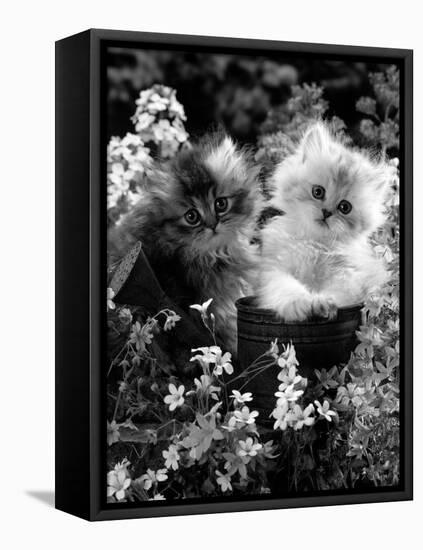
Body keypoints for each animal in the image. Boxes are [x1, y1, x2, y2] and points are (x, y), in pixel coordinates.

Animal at [258, 122, 394, 322]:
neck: (314, 243)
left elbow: (337, 295)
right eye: (318, 192)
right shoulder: (274, 269)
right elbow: (288, 288)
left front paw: (322, 303)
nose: (327, 212)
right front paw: (303, 304)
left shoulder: (349, 278)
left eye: (344, 207)